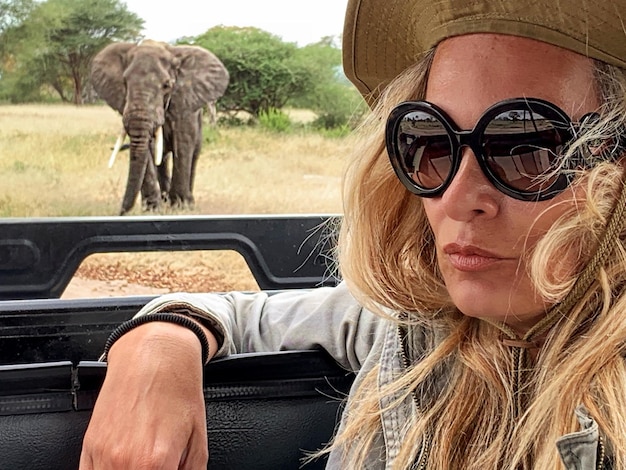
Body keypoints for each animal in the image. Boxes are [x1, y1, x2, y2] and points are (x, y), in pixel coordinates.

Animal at [90, 39, 229, 216]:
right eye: (125, 83)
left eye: (166, 85)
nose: (120, 213)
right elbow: (148, 149)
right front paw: (152, 209)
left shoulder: (184, 104)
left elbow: (183, 144)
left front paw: (180, 207)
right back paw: (164, 198)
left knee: (193, 154)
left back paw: (186, 202)